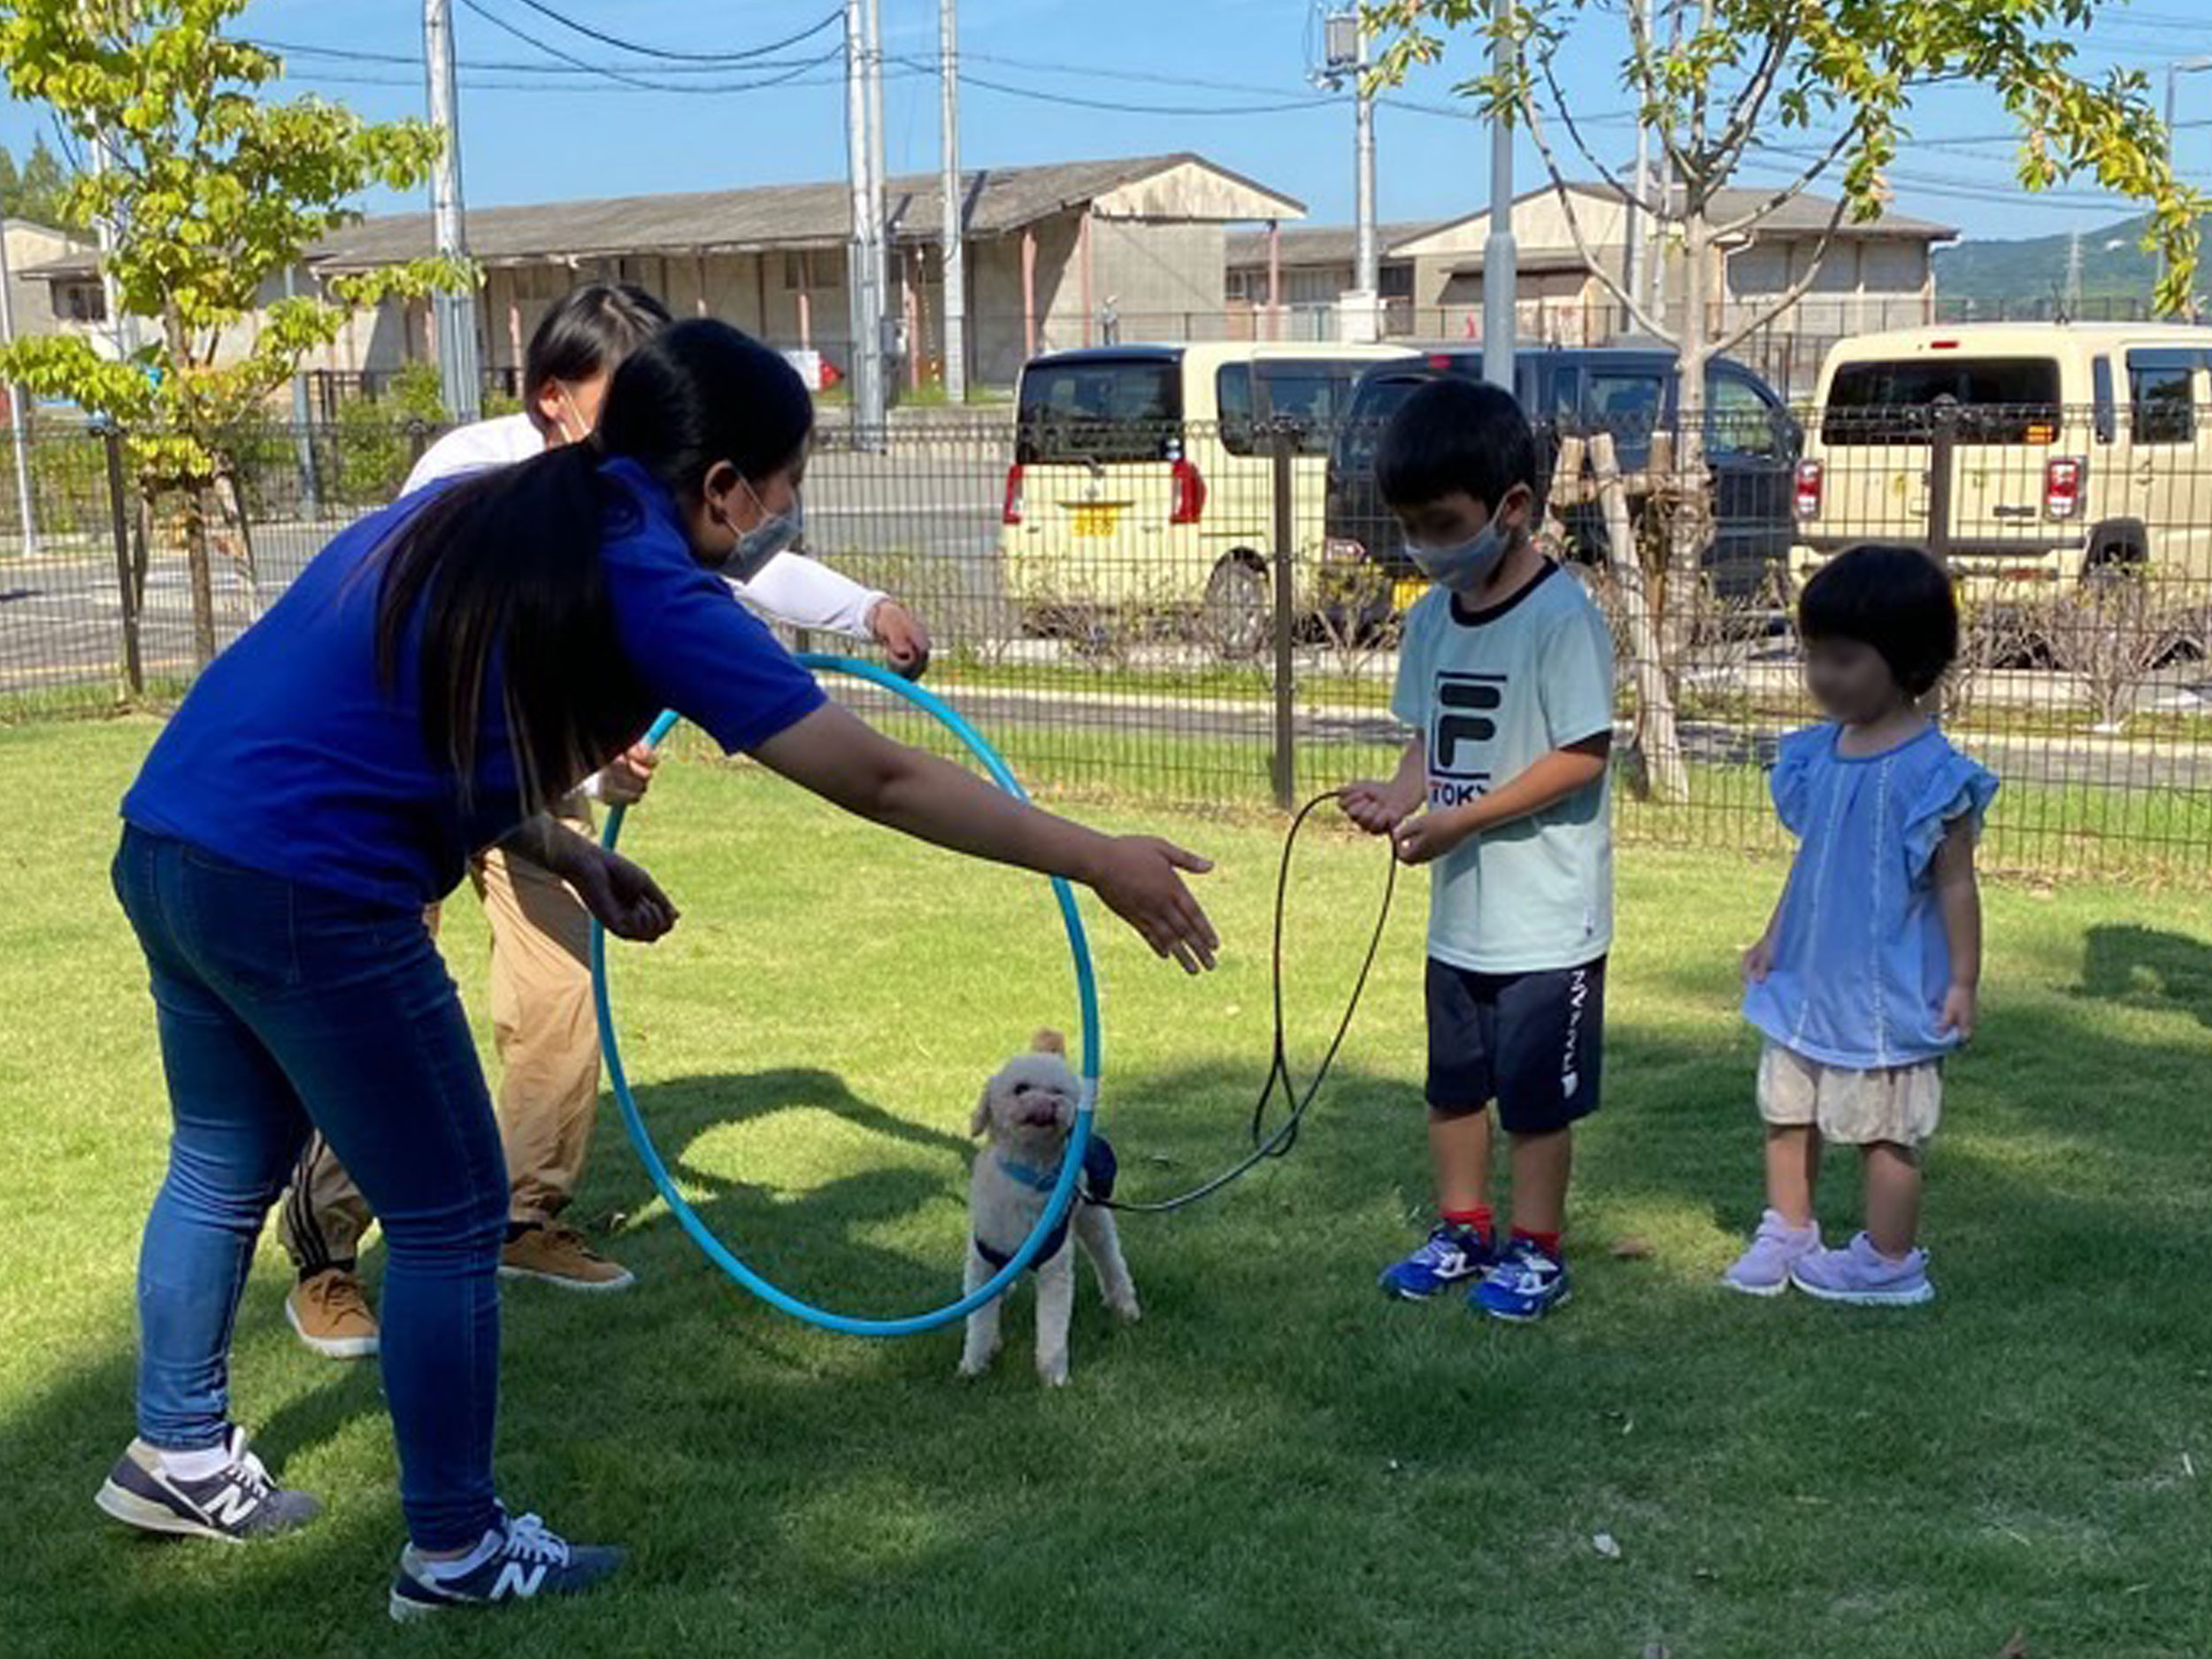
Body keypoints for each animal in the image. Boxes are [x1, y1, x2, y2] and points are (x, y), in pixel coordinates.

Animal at [960, 1035, 1141, 1380]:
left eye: (1059, 1091)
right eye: (1021, 1088)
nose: (1048, 1103)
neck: (1029, 1174)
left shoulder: (1054, 1266)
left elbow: (1053, 1323)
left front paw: (1053, 1375)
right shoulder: (984, 1261)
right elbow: (979, 1321)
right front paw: (974, 1364)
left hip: (1094, 1217)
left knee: (1111, 1260)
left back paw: (1126, 1307)